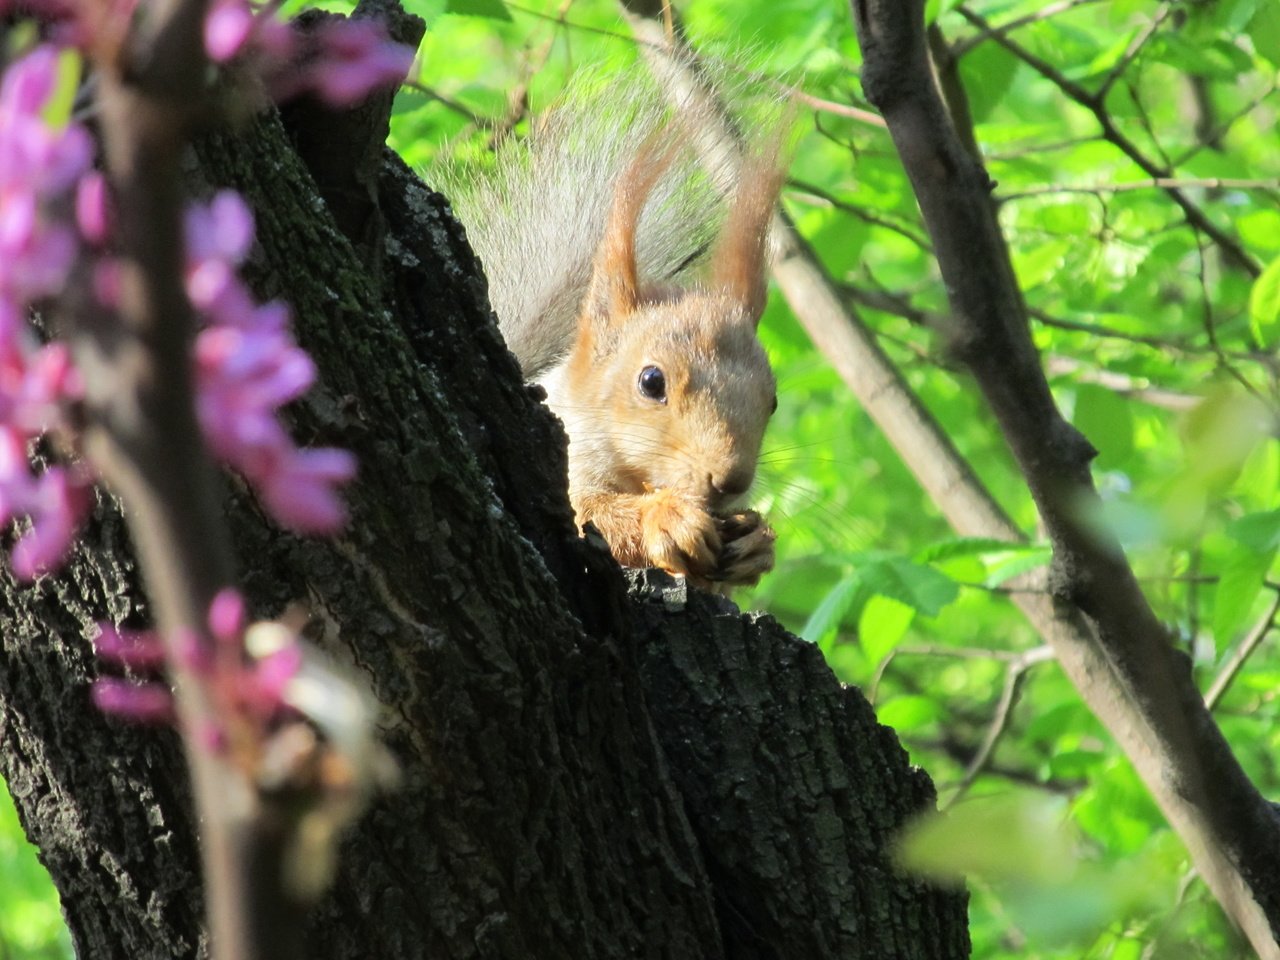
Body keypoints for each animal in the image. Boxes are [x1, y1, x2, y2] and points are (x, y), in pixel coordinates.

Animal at [445, 82, 783, 591]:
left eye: (773, 401)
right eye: (651, 382)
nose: (731, 482)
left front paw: (755, 540)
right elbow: (588, 511)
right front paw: (666, 519)